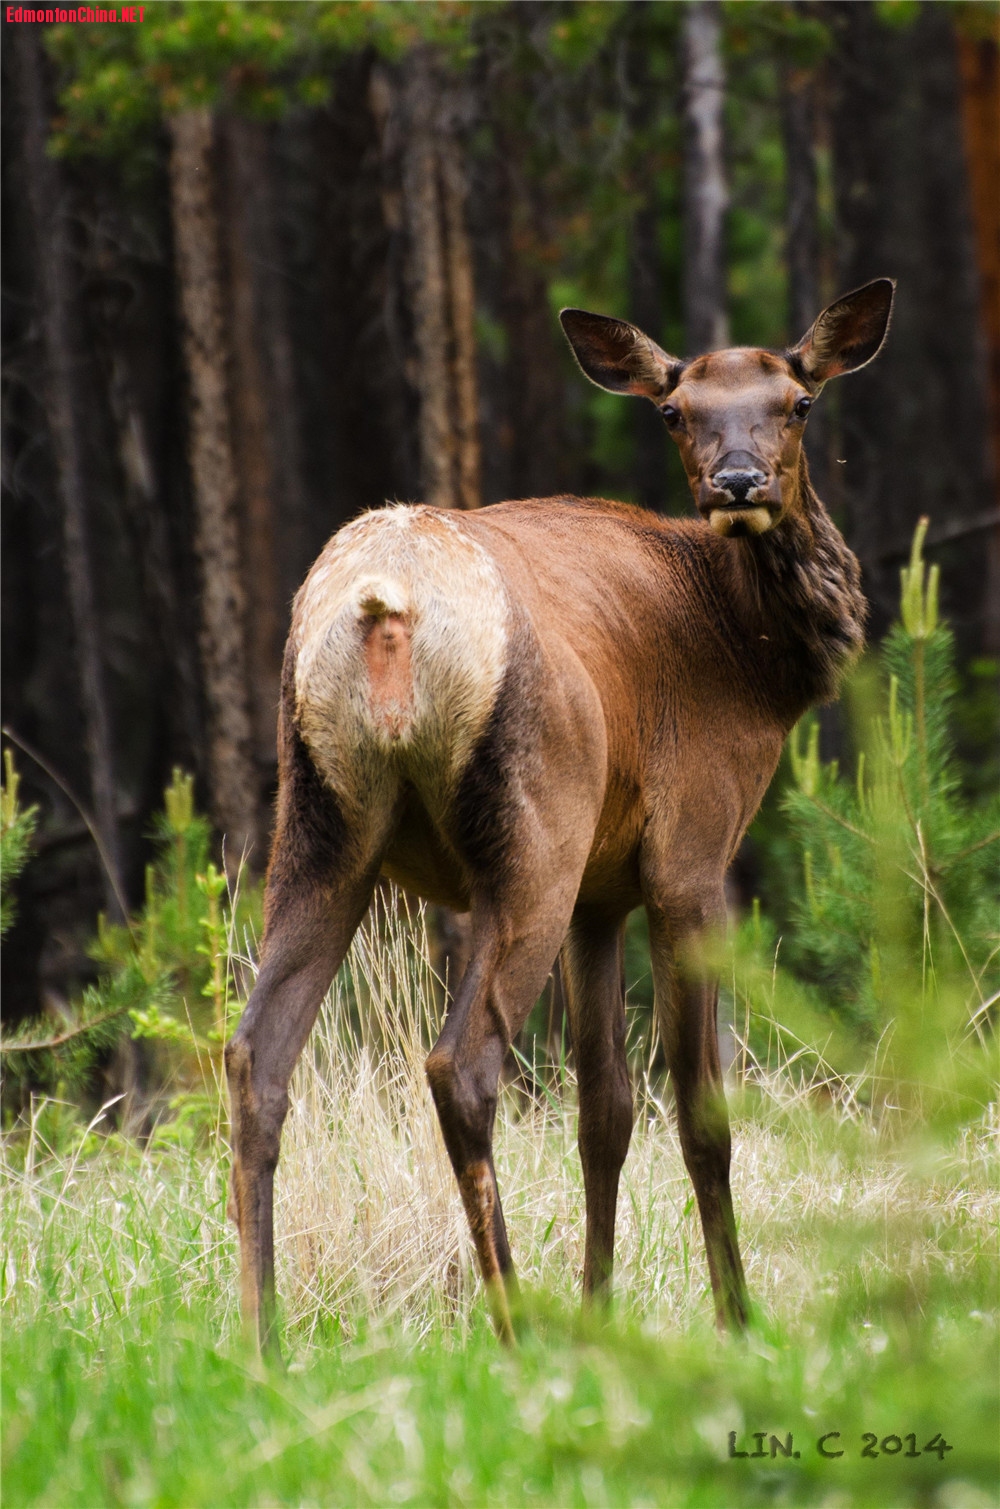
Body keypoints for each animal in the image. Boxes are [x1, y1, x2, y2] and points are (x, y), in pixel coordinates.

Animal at [229, 274, 898, 1358]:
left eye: (797, 402)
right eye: (676, 411)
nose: (740, 482)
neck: (756, 665)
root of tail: (383, 605)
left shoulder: (601, 892)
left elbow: (605, 1114)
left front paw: (600, 1310)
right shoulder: (689, 852)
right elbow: (700, 1110)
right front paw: (735, 1318)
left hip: (320, 828)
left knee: (256, 1056)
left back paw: (263, 1336)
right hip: (532, 832)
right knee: (460, 1063)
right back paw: (510, 1325)